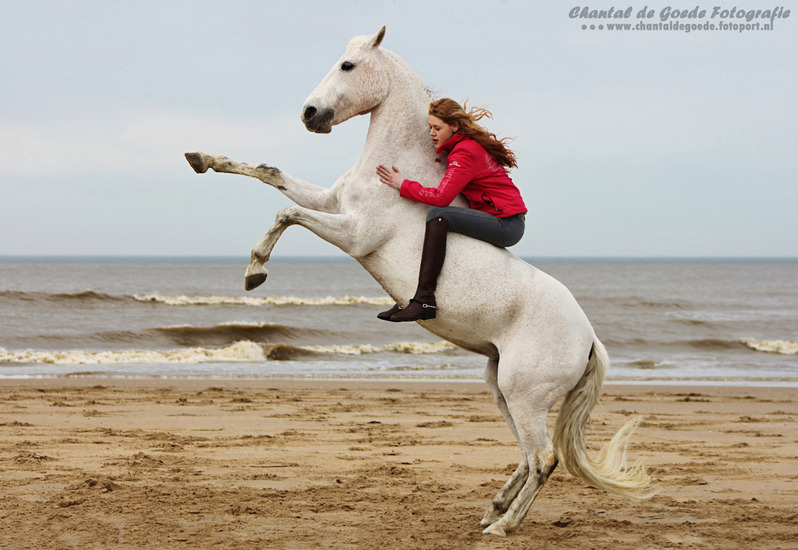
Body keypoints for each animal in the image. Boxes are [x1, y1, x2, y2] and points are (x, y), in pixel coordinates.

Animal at [185, 26, 652, 536]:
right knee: (529, 455)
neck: (396, 166)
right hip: (502, 387)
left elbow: (286, 212)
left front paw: (256, 271)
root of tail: (589, 340)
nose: (310, 114)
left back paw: (503, 527)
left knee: (544, 458)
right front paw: (201, 158)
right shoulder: (331, 203)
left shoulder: (353, 234)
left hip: (524, 393)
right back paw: (493, 510)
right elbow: (271, 176)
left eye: (348, 65)